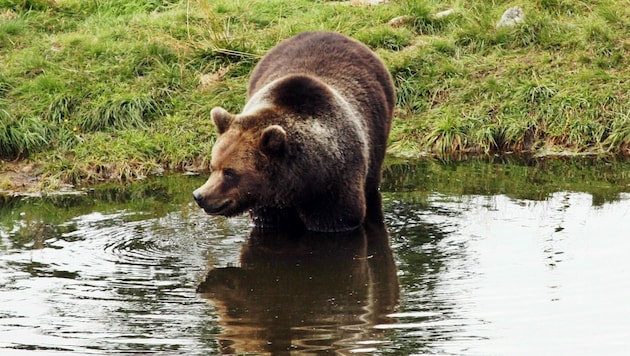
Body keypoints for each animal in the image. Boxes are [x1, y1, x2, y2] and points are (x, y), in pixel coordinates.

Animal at [195, 31, 396, 234]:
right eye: (213, 166)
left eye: (230, 172)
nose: (199, 195)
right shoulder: (269, 205)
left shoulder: (336, 188)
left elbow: (339, 220)